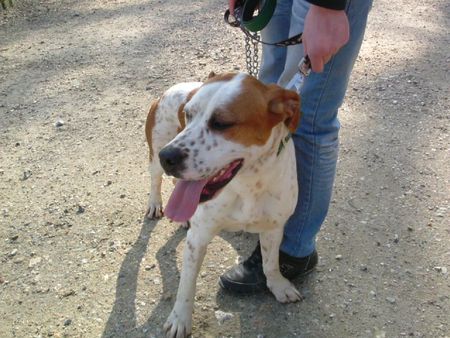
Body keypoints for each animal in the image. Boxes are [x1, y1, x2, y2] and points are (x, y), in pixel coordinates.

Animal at [146, 72, 302, 336]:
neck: (249, 185)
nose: (167, 157)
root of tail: (172, 88)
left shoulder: (274, 227)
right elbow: (186, 286)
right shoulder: (198, 239)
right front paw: (180, 319)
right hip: (156, 151)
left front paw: (278, 286)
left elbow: (271, 263)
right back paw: (155, 203)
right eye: (187, 114)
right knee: (155, 180)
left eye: (221, 123)